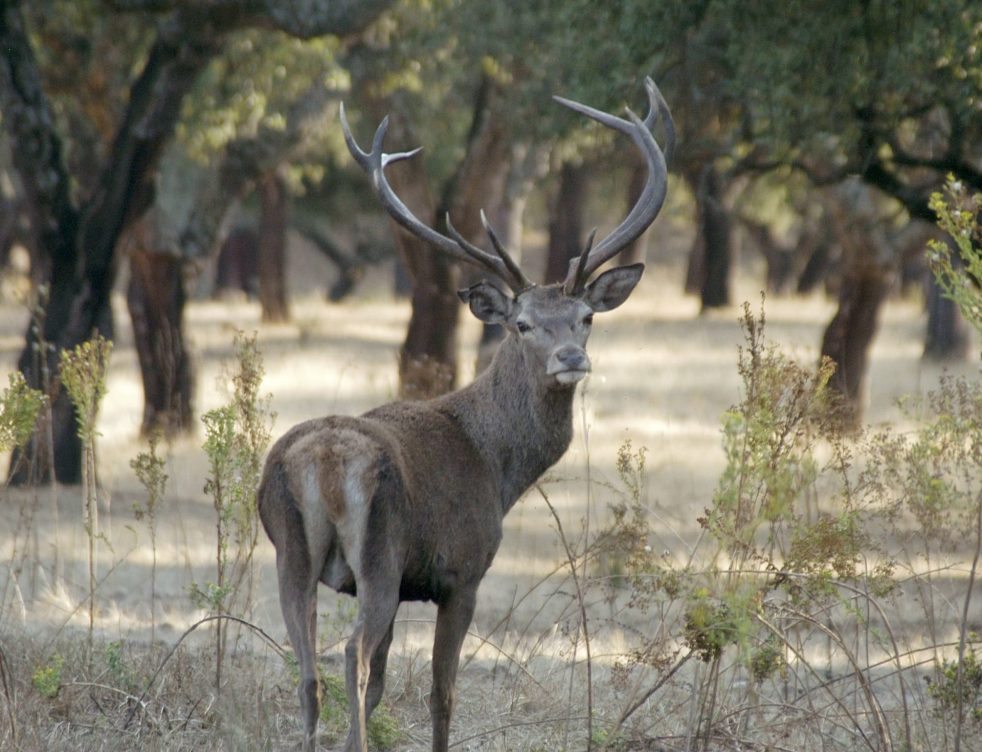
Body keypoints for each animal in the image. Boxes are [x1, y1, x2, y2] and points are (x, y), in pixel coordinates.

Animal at [257, 77, 674, 752]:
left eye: (586, 316)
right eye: (522, 323)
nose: (571, 358)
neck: (497, 467)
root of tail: (321, 462)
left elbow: (384, 688)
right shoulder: (461, 572)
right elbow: (441, 693)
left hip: (289, 548)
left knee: (307, 668)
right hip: (380, 550)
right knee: (351, 654)